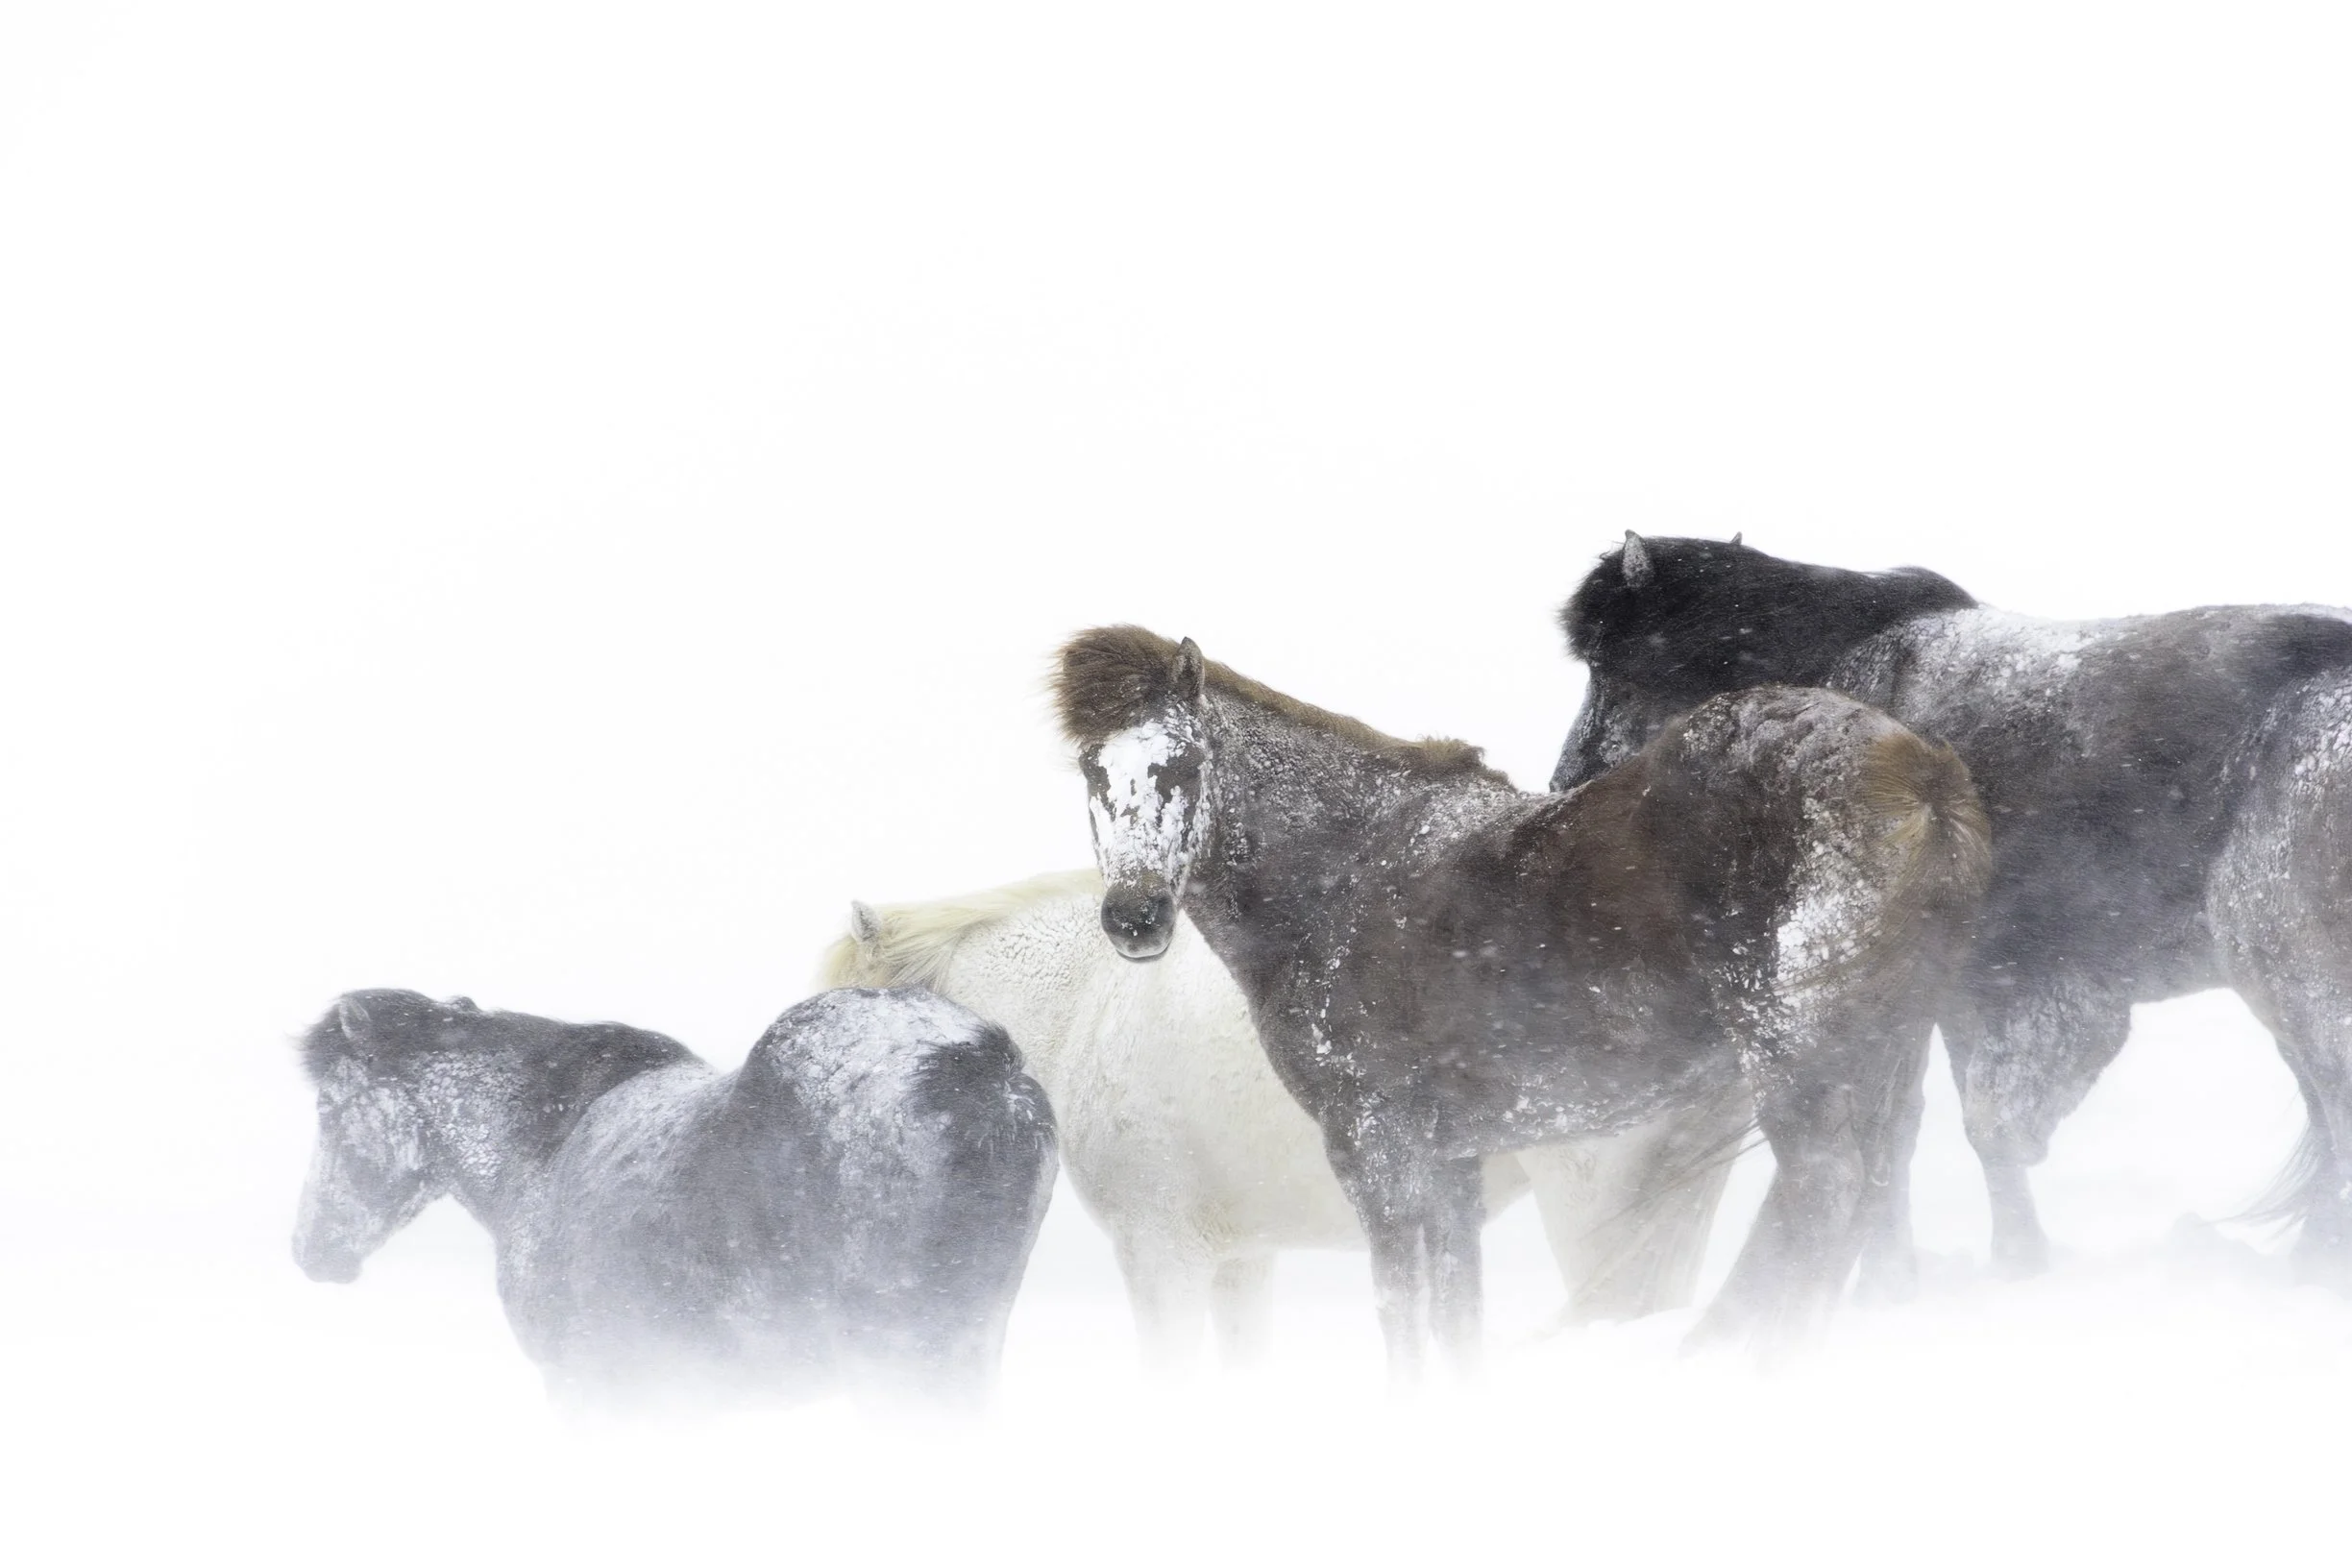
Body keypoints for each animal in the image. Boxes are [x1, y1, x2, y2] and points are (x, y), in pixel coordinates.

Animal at [1053, 625, 1989, 1370]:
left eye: (1183, 764)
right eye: (1092, 771)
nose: (1134, 917)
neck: (1341, 874)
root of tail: (1921, 769)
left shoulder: (1377, 1153)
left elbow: (1404, 1316)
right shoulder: (1451, 1161)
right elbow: (1455, 1316)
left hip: (1800, 1056)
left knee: (1822, 1195)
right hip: (1884, 1054)